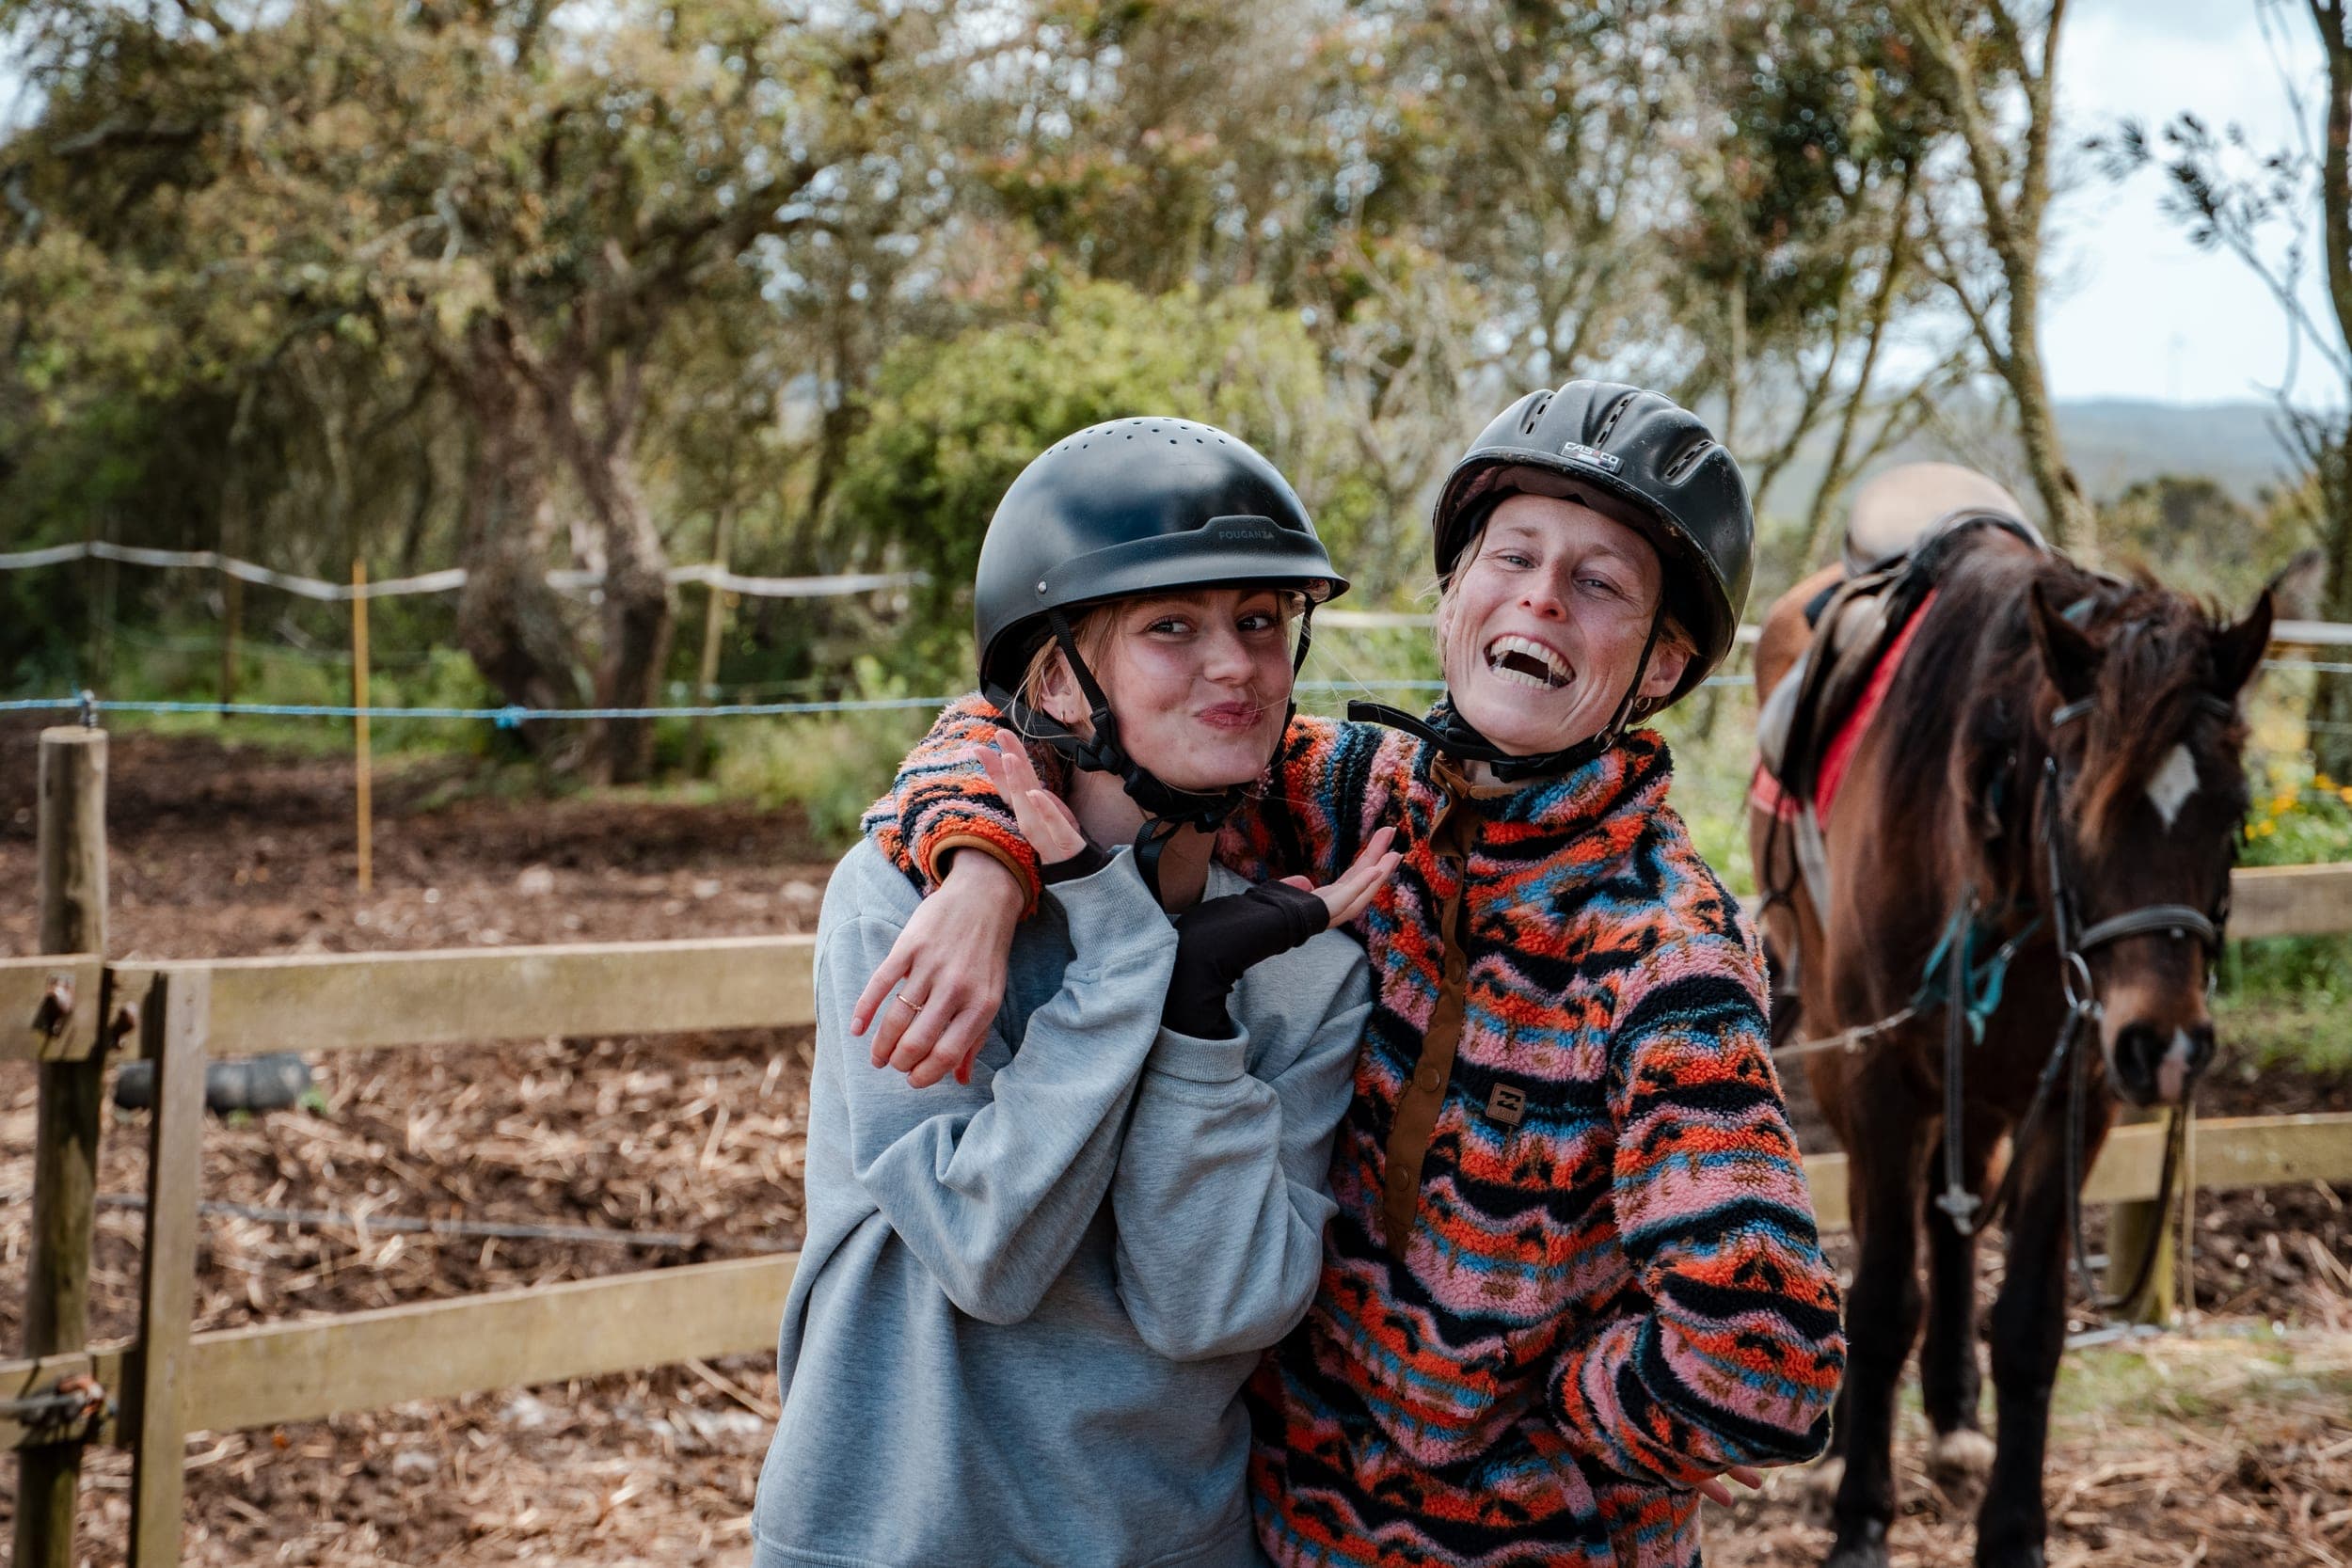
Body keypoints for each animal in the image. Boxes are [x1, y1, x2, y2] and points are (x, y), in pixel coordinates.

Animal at [1746, 465, 2274, 1568]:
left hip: (1986, 1082)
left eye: (2235, 813)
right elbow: (1883, 1297)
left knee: (1952, 1219)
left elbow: (2029, 1324)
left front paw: (2013, 1530)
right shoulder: (1878, 1077)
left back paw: (1954, 1421)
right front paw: (1860, 1514)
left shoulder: (2076, 1088)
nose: (2166, 1044)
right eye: (2080, 804)